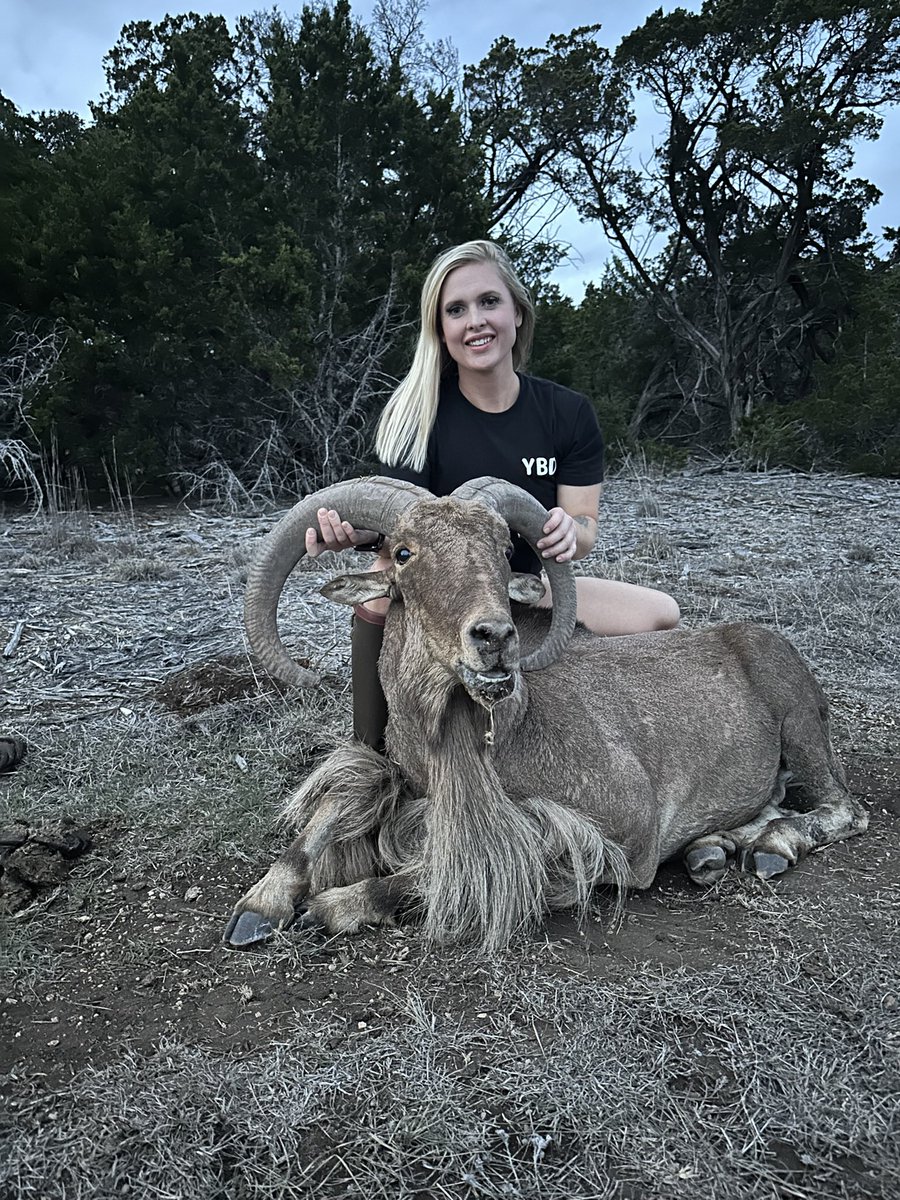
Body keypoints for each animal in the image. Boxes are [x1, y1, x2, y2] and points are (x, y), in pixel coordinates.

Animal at [224, 476, 867, 952]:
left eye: (501, 550)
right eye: (404, 554)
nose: (495, 637)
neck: (497, 733)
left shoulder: (622, 831)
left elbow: (440, 876)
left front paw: (329, 907)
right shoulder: (400, 780)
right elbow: (331, 811)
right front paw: (258, 906)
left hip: (799, 724)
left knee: (844, 809)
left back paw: (772, 846)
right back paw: (715, 847)